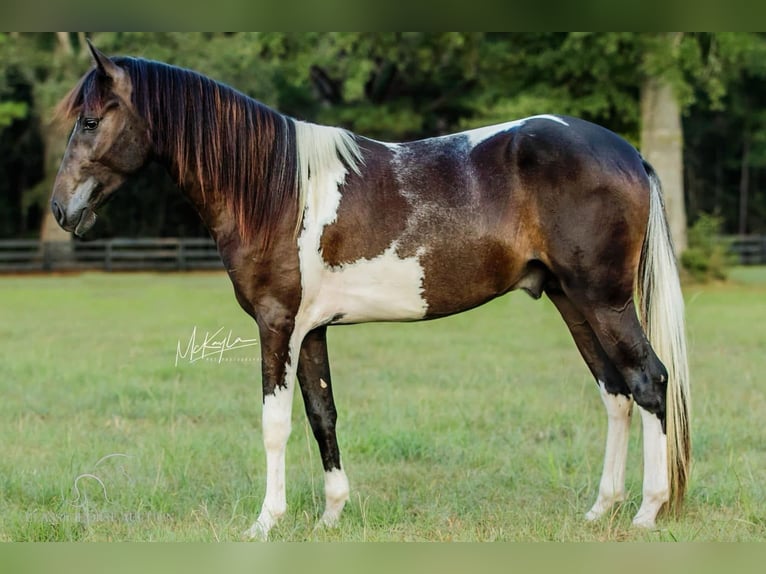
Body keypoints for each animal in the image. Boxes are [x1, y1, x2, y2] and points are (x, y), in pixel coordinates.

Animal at [51, 40, 692, 540]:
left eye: (91, 120)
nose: (61, 209)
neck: (276, 188)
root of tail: (628, 152)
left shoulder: (276, 323)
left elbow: (275, 423)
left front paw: (265, 521)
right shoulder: (310, 330)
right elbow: (322, 415)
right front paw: (331, 514)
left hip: (605, 302)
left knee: (649, 381)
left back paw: (647, 511)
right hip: (572, 301)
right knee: (615, 394)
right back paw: (600, 510)